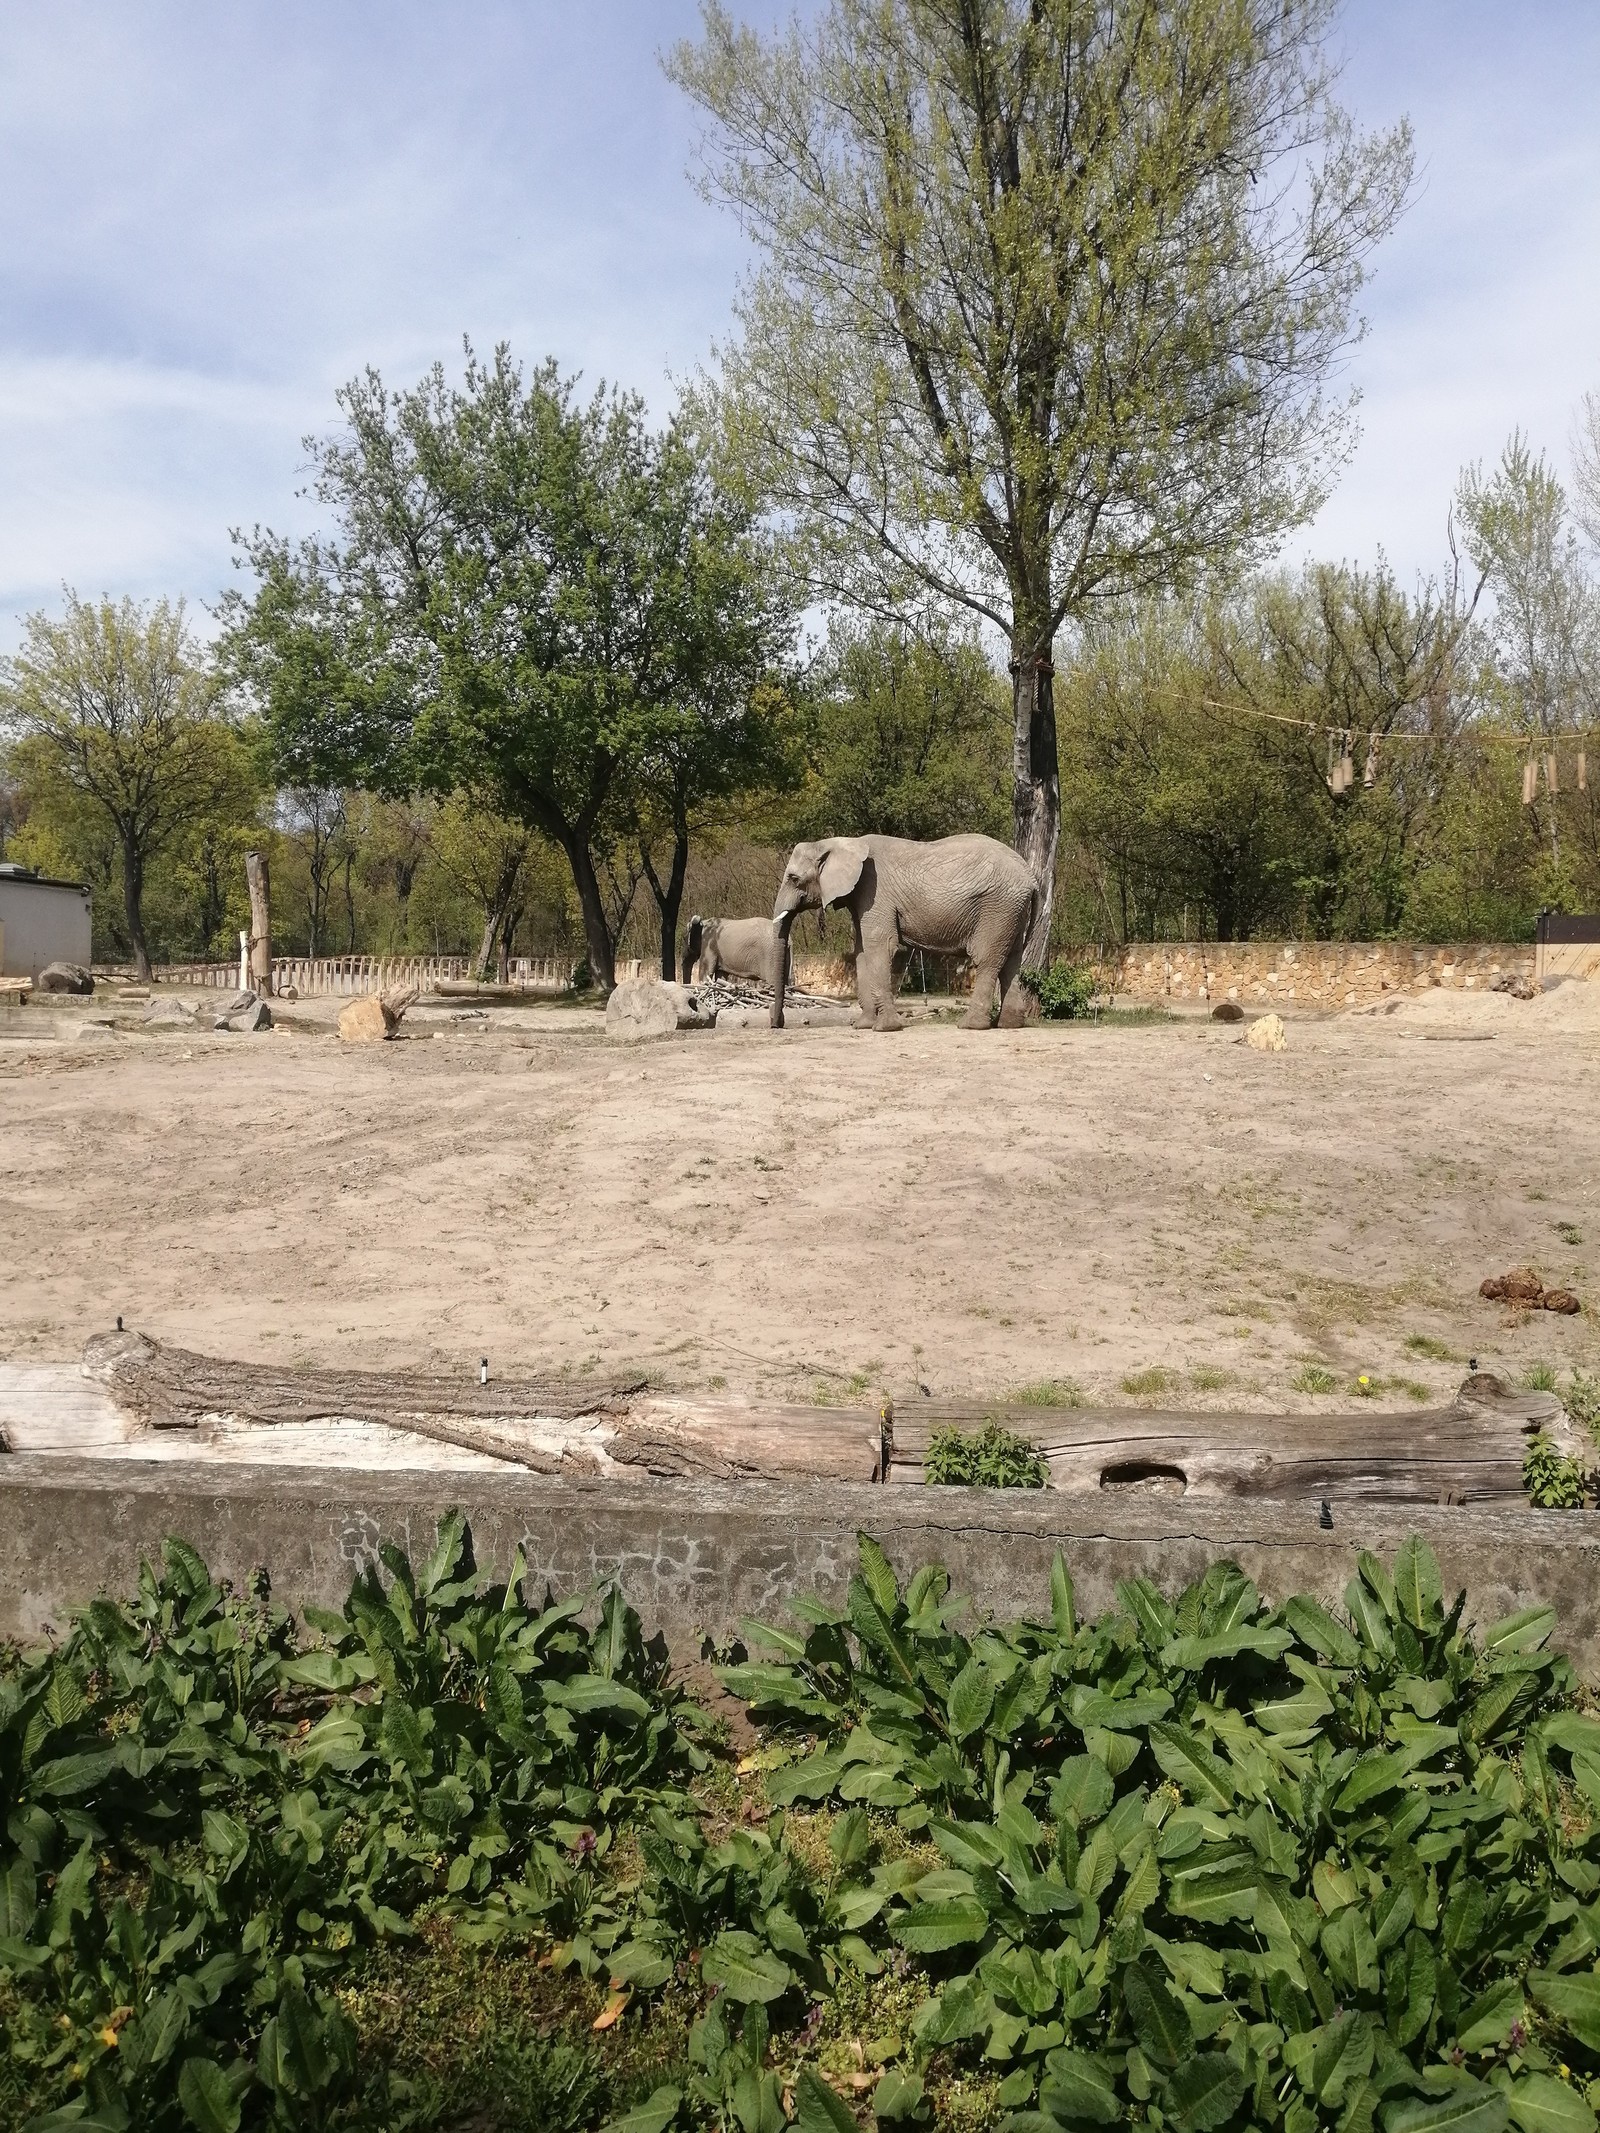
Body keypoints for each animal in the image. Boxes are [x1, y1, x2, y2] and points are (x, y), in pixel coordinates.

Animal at [772, 831, 1041, 1032]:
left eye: (793, 878)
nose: (778, 1025)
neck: (841, 842)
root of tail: (1031, 877)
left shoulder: (875, 893)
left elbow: (879, 947)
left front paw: (884, 1028)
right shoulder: (861, 897)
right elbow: (861, 952)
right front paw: (863, 1026)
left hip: (997, 906)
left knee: (986, 959)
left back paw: (970, 1025)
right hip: (1012, 909)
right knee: (1012, 959)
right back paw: (1009, 1025)